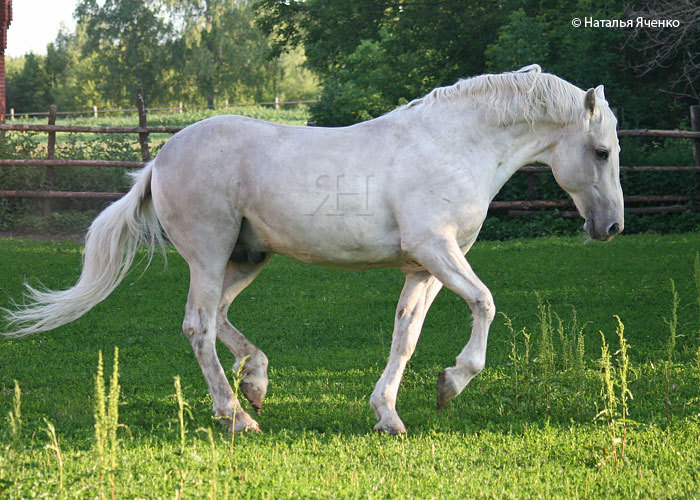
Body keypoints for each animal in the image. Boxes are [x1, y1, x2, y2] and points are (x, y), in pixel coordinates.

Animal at [1, 65, 624, 434]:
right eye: (600, 152)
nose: (612, 227)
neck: (453, 145)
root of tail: (158, 160)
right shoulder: (438, 251)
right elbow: (485, 303)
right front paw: (452, 383)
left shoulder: (422, 268)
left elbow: (405, 336)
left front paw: (389, 415)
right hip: (210, 252)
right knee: (199, 325)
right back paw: (237, 416)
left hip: (246, 257)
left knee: (213, 317)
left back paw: (254, 384)